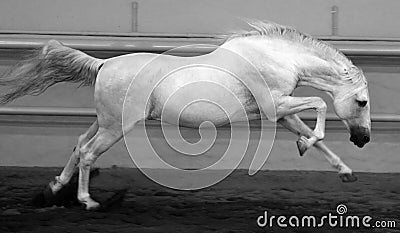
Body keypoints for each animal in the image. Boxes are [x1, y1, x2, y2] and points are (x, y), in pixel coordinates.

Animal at [0, 21, 372, 210]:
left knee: (79, 145)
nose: (363, 139)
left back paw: (53, 189)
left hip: (104, 121)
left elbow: (315, 136)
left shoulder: (281, 111)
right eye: (362, 102)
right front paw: (308, 146)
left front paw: (344, 172)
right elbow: (320, 107)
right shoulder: (275, 107)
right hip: (117, 126)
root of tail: (103, 64)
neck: (276, 58)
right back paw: (87, 201)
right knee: (89, 153)